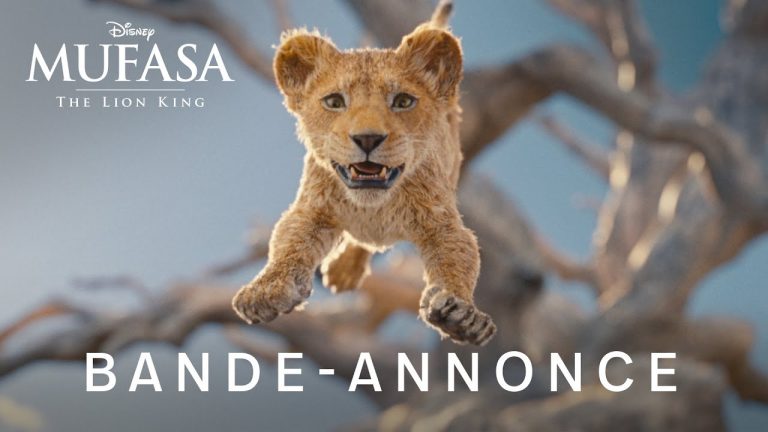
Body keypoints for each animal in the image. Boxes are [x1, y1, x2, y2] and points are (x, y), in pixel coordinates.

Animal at [232, 15, 497, 345]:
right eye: (334, 101)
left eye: (403, 101)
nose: (368, 138)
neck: (374, 207)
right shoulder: (311, 209)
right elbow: (288, 244)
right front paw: (265, 291)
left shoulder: (442, 223)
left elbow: (458, 259)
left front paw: (461, 315)